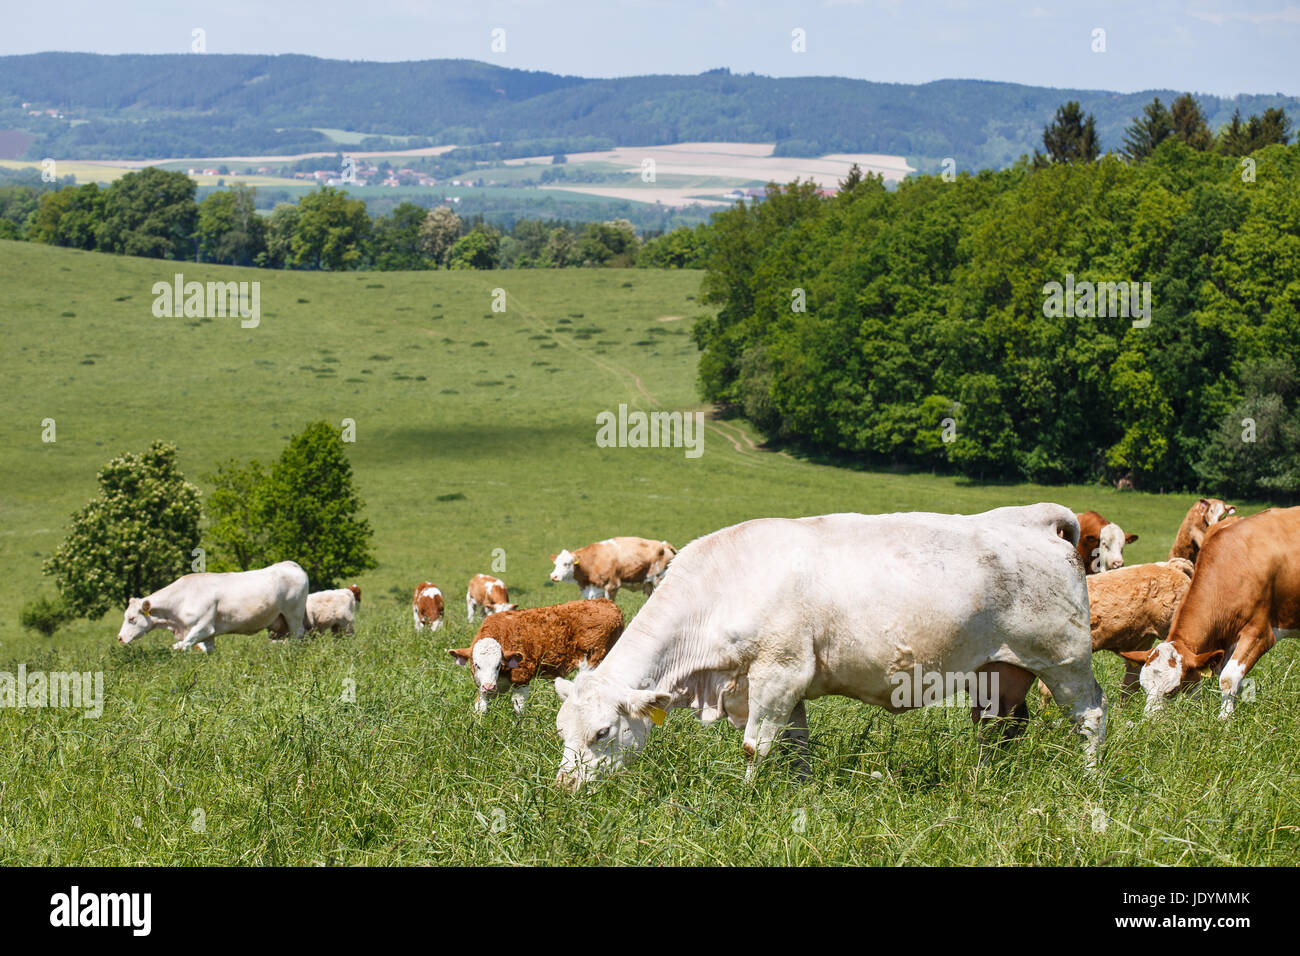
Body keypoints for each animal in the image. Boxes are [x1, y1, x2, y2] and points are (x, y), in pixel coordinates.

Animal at [116, 561, 309, 654]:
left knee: (297, 635)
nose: (119, 638)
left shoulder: (204, 626)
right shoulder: (208, 635)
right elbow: (207, 650)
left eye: (131, 618)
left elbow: (182, 645)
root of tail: (290, 565)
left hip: (293, 614)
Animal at [448, 599, 624, 715]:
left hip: (592, 662)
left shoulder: (522, 677)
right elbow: (480, 708)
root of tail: (609, 604)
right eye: (476, 664)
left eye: (498, 664)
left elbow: (519, 708)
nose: (489, 687)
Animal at [553, 504, 1106, 791]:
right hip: (999, 669)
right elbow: (796, 744)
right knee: (1001, 727)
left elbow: (756, 746)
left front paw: (744, 795)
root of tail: (1034, 518)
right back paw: (984, 779)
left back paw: (1089, 778)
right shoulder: (785, 684)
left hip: (1065, 660)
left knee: (1091, 714)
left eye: (602, 733)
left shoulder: (777, 673)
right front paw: (800, 791)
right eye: (562, 732)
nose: (564, 786)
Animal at [1122, 506, 1300, 718]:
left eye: (1172, 690)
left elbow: (1228, 678)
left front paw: (1225, 719)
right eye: (1144, 687)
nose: (1149, 720)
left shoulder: (1260, 633)